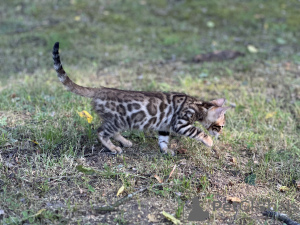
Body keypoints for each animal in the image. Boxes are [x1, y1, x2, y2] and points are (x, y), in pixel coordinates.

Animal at [52, 42, 230, 155]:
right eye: (220, 126)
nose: (221, 135)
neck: (200, 105)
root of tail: (99, 90)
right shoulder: (180, 123)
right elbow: (198, 131)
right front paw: (209, 141)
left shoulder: (164, 125)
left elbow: (163, 139)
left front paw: (165, 150)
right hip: (119, 120)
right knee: (101, 132)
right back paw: (113, 148)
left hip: (119, 121)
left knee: (111, 132)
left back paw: (125, 142)